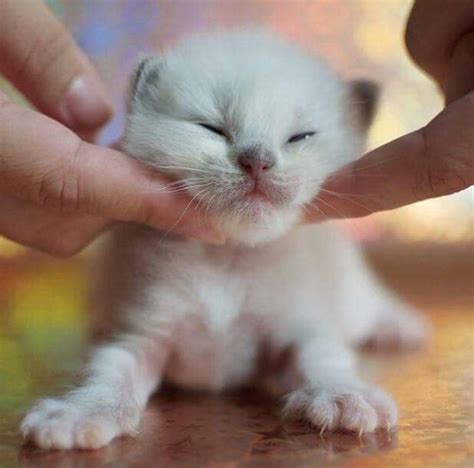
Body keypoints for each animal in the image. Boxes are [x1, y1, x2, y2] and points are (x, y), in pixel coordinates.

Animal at [20, 29, 428, 450]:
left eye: (300, 137)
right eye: (210, 127)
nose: (257, 161)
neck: (228, 256)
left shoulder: (299, 326)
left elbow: (323, 356)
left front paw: (345, 398)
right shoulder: (142, 332)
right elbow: (109, 368)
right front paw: (81, 412)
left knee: (371, 301)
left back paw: (399, 327)